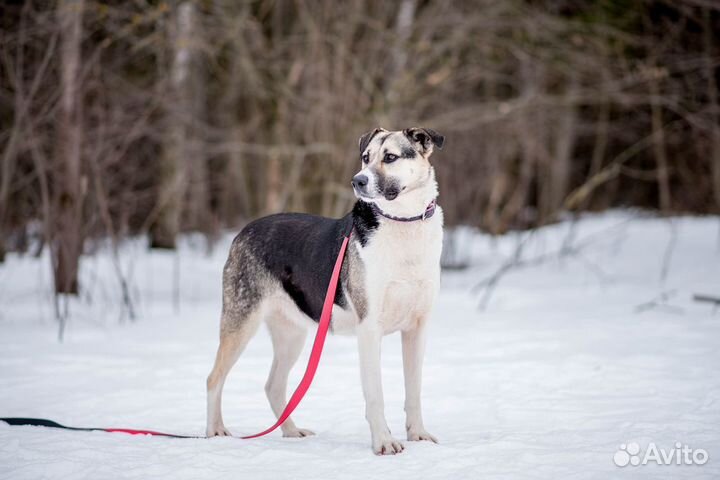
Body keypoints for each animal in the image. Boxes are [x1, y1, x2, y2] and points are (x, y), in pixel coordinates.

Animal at [202, 126, 448, 454]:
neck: (402, 222)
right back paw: (215, 432)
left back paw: (291, 432)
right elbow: (375, 394)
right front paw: (384, 442)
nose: (358, 181)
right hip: (241, 321)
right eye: (365, 157)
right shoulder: (369, 328)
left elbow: (414, 390)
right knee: (214, 379)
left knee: (273, 385)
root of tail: (243, 231)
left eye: (390, 157)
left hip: (291, 334)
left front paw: (418, 434)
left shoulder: (417, 328)